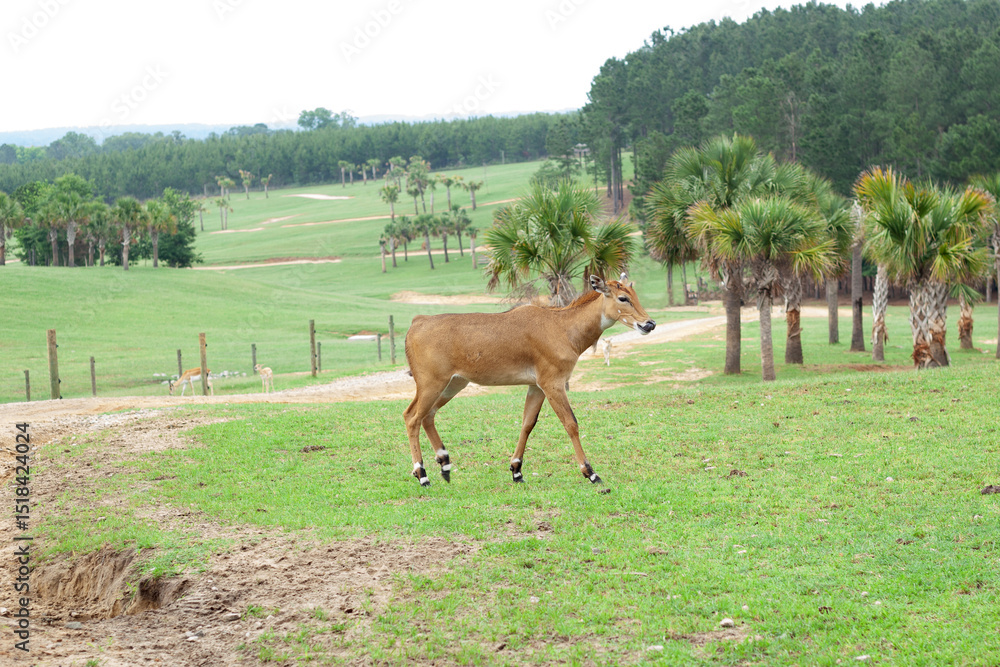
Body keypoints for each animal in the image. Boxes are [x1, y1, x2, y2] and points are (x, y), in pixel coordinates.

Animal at [403, 273, 655, 487]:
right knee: (412, 416)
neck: (563, 327)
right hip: (431, 383)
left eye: (634, 295)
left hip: (454, 383)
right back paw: (422, 474)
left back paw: (445, 464)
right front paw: (591, 472)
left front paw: (516, 470)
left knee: (428, 415)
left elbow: (527, 423)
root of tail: (416, 322)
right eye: (622, 298)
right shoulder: (553, 383)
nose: (649, 324)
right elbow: (571, 423)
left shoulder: (536, 386)